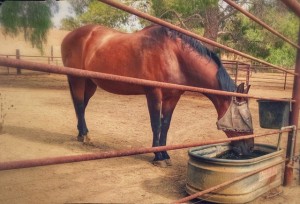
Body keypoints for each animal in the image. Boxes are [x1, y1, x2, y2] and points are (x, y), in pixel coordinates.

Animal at [62, 24, 254, 167]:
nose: (250, 149)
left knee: (82, 106)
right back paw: (84, 136)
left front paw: (165, 154)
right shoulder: (154, 93)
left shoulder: (173, 97)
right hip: (77, 79)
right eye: (244, 118)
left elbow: (165, 125)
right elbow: (156, 124)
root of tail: (69, 36)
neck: (174, 56)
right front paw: (157, 157)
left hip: (90, 83)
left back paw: (81, 134)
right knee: (79, 104)